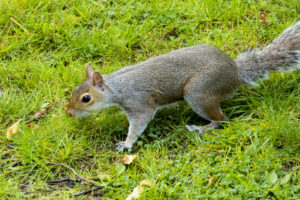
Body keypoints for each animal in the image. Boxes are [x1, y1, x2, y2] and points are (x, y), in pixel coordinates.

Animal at [67, 21, 298, 150]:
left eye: (86, 98)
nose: (68, 113)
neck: (118, 86)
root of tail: (235, 72)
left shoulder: (139, 103)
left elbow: (139, 123)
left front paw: (126, 143)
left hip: (199, 93)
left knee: (221, 119)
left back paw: (201, 128)